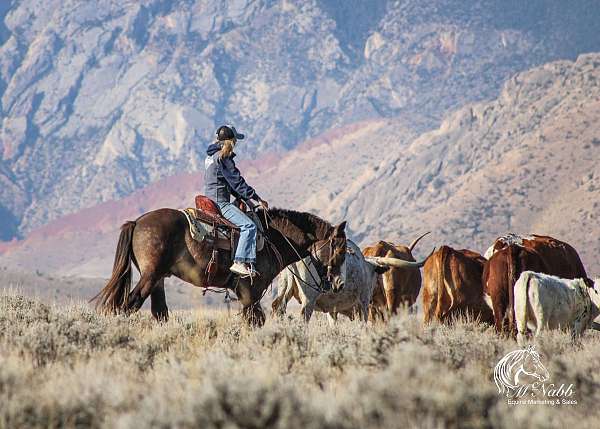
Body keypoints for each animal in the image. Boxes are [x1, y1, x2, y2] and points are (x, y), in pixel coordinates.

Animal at [93, 207, 346, 324]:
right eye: (340, 249)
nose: (338, 284)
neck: (271, 237)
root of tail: (137, 222)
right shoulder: (250, 291)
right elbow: (255, 320)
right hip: (150, 276)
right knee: (130, 304)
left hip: (158, 280)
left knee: (159, 312)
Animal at [272, 239, 426, 322]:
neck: (366, 268)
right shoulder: (363, 303)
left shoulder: (332, 309)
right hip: (309, 298)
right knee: (304, 316)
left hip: (284, 289)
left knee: (278, 308)